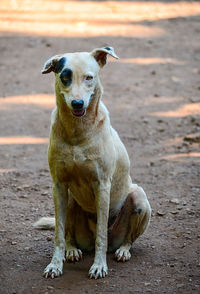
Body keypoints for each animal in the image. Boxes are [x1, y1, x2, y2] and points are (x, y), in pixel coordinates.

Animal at [35, 47, 152, 280]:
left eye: (89, 77)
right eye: (65, 77)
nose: (78, 103)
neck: (77, 132)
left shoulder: (102, 185)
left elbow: (100, 237)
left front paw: (99, 266)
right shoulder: (58, 185)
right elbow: (59, 233)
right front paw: (55, 265)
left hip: (140, 199)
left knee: (124, 239)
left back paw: (123, 250)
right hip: (70, 200)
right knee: (69, 234)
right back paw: (72, 250)